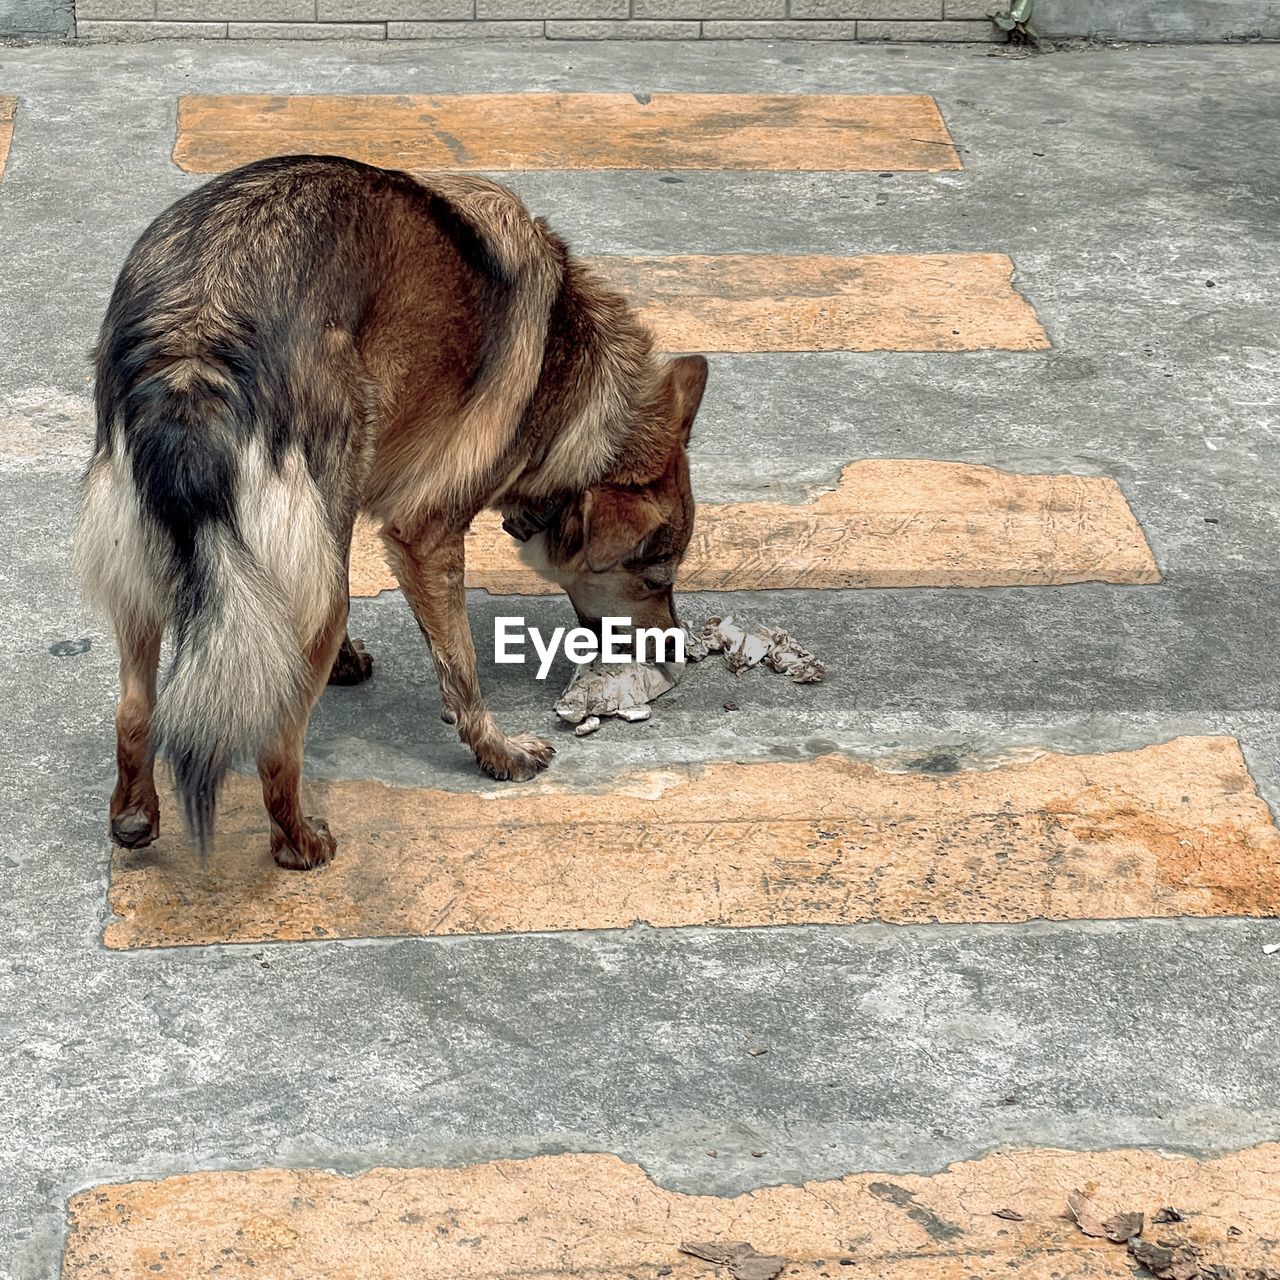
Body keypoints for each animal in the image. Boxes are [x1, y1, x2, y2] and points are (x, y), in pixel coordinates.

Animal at [73, 152, 706, 870]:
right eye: (655, 578)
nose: (680, 654)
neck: (574, 391)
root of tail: (193, 340)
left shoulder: (338, 522)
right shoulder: (425, 536)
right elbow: (459, 665)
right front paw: (496, 751)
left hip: (147, 574)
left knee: (134, 709)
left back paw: (133, 816)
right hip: (315, 588)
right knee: (277, 741)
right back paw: (298, 842)